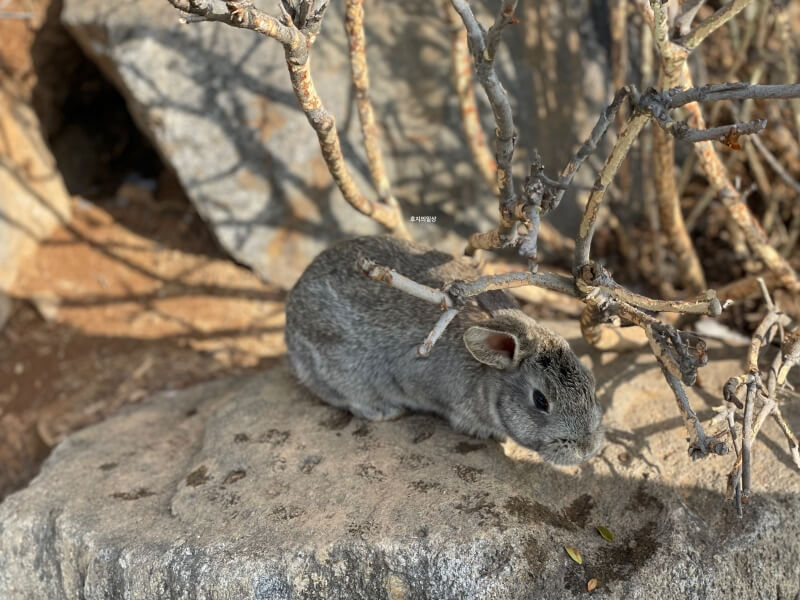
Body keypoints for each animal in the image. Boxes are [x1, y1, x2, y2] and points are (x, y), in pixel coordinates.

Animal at [284, 234, 604, 464]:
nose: (586, 449)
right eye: (540, 400)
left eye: (591, 384)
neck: (487, 377)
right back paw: (384, 411)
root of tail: (290, 322)